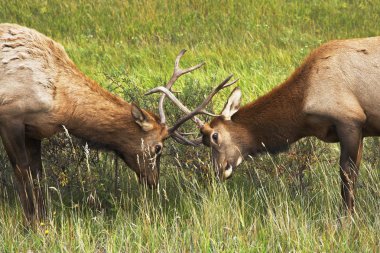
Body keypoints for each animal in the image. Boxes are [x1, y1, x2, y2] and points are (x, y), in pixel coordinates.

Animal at [0, 22, 235, 222]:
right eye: (158, 147)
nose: (154, 181)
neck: (60, 102)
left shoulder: (34, 131)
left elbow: (37, 174)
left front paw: (43, 219)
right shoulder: (11, 118)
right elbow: (22, 173)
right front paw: (31, 223)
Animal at [150, 36, 380, 214]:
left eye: (215, 136)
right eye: (205, 142)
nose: (220, 171)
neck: (303, 103)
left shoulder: (350, 120)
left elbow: (347, 178)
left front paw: (347, 219)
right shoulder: (359, 130)